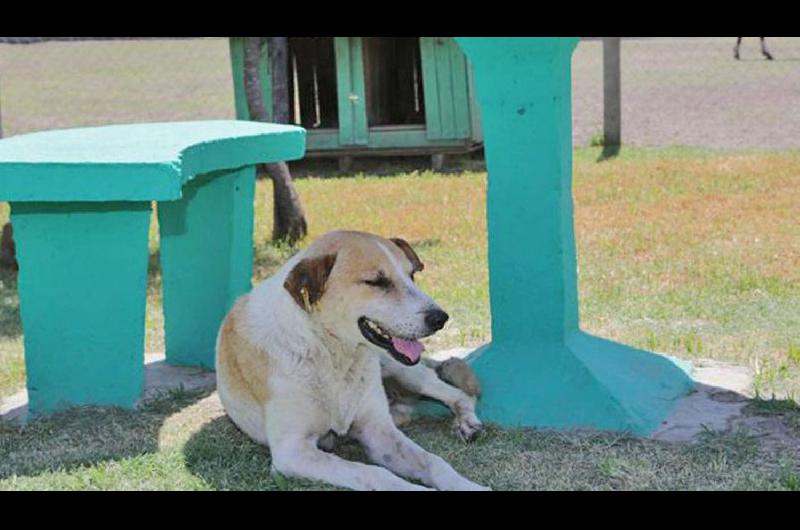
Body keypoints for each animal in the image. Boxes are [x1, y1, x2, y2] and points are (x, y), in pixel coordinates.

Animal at [214, 229, 488, 488]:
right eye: (377, 281)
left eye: (411, 276)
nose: (440, 318)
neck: (332, 352)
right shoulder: (292, 452)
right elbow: (374, 473)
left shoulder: (378, 432)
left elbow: (433, 461)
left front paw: (468, 486)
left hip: (402, 370)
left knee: (459, 394)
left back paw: (466, 422)